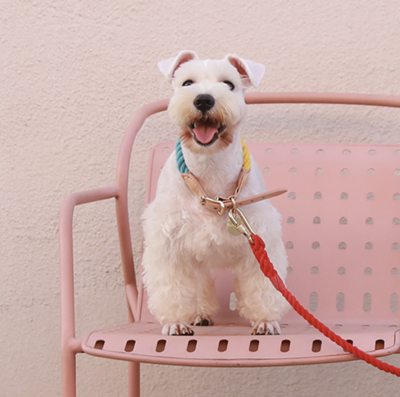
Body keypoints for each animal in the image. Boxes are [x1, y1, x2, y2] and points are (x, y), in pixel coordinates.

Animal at [142, 49, 290, 334]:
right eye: (187, 83)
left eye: (229, 84)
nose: (203, 99)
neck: (209, 167)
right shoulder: (170, 241)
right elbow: (173, 286)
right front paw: (175, 322)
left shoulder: (258, 237)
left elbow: (262, 285)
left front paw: (266, 320)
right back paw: (200, 314)